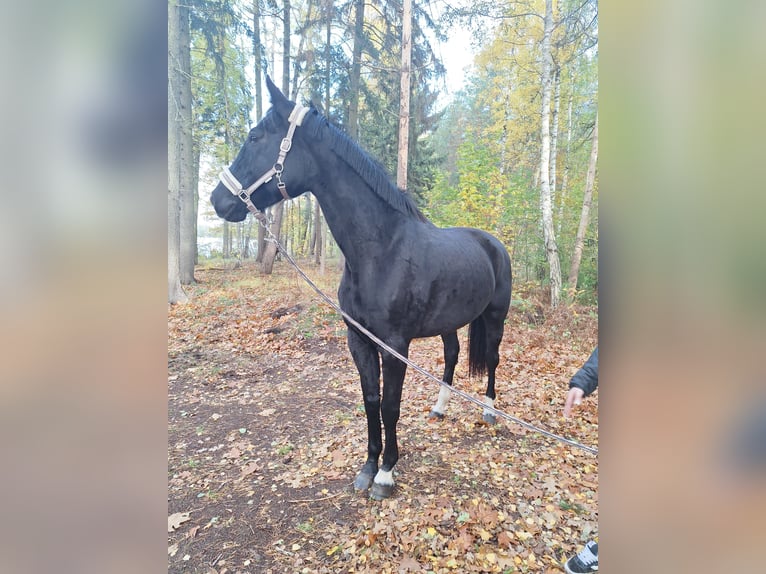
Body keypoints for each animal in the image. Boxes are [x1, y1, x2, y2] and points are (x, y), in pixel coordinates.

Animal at [210, 76, 512, 500]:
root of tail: (493, 244)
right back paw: (440, 408)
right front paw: (368, 467)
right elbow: (371, 401)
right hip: (450, 323)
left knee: (494, 359)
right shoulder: (359, 340)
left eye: (255, 136)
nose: (218, 200)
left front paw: (386, 474)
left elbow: (390, 406)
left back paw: (488, 410)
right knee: (452, 357)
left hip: (496, 317)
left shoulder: (394, 345)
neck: (381, 250)